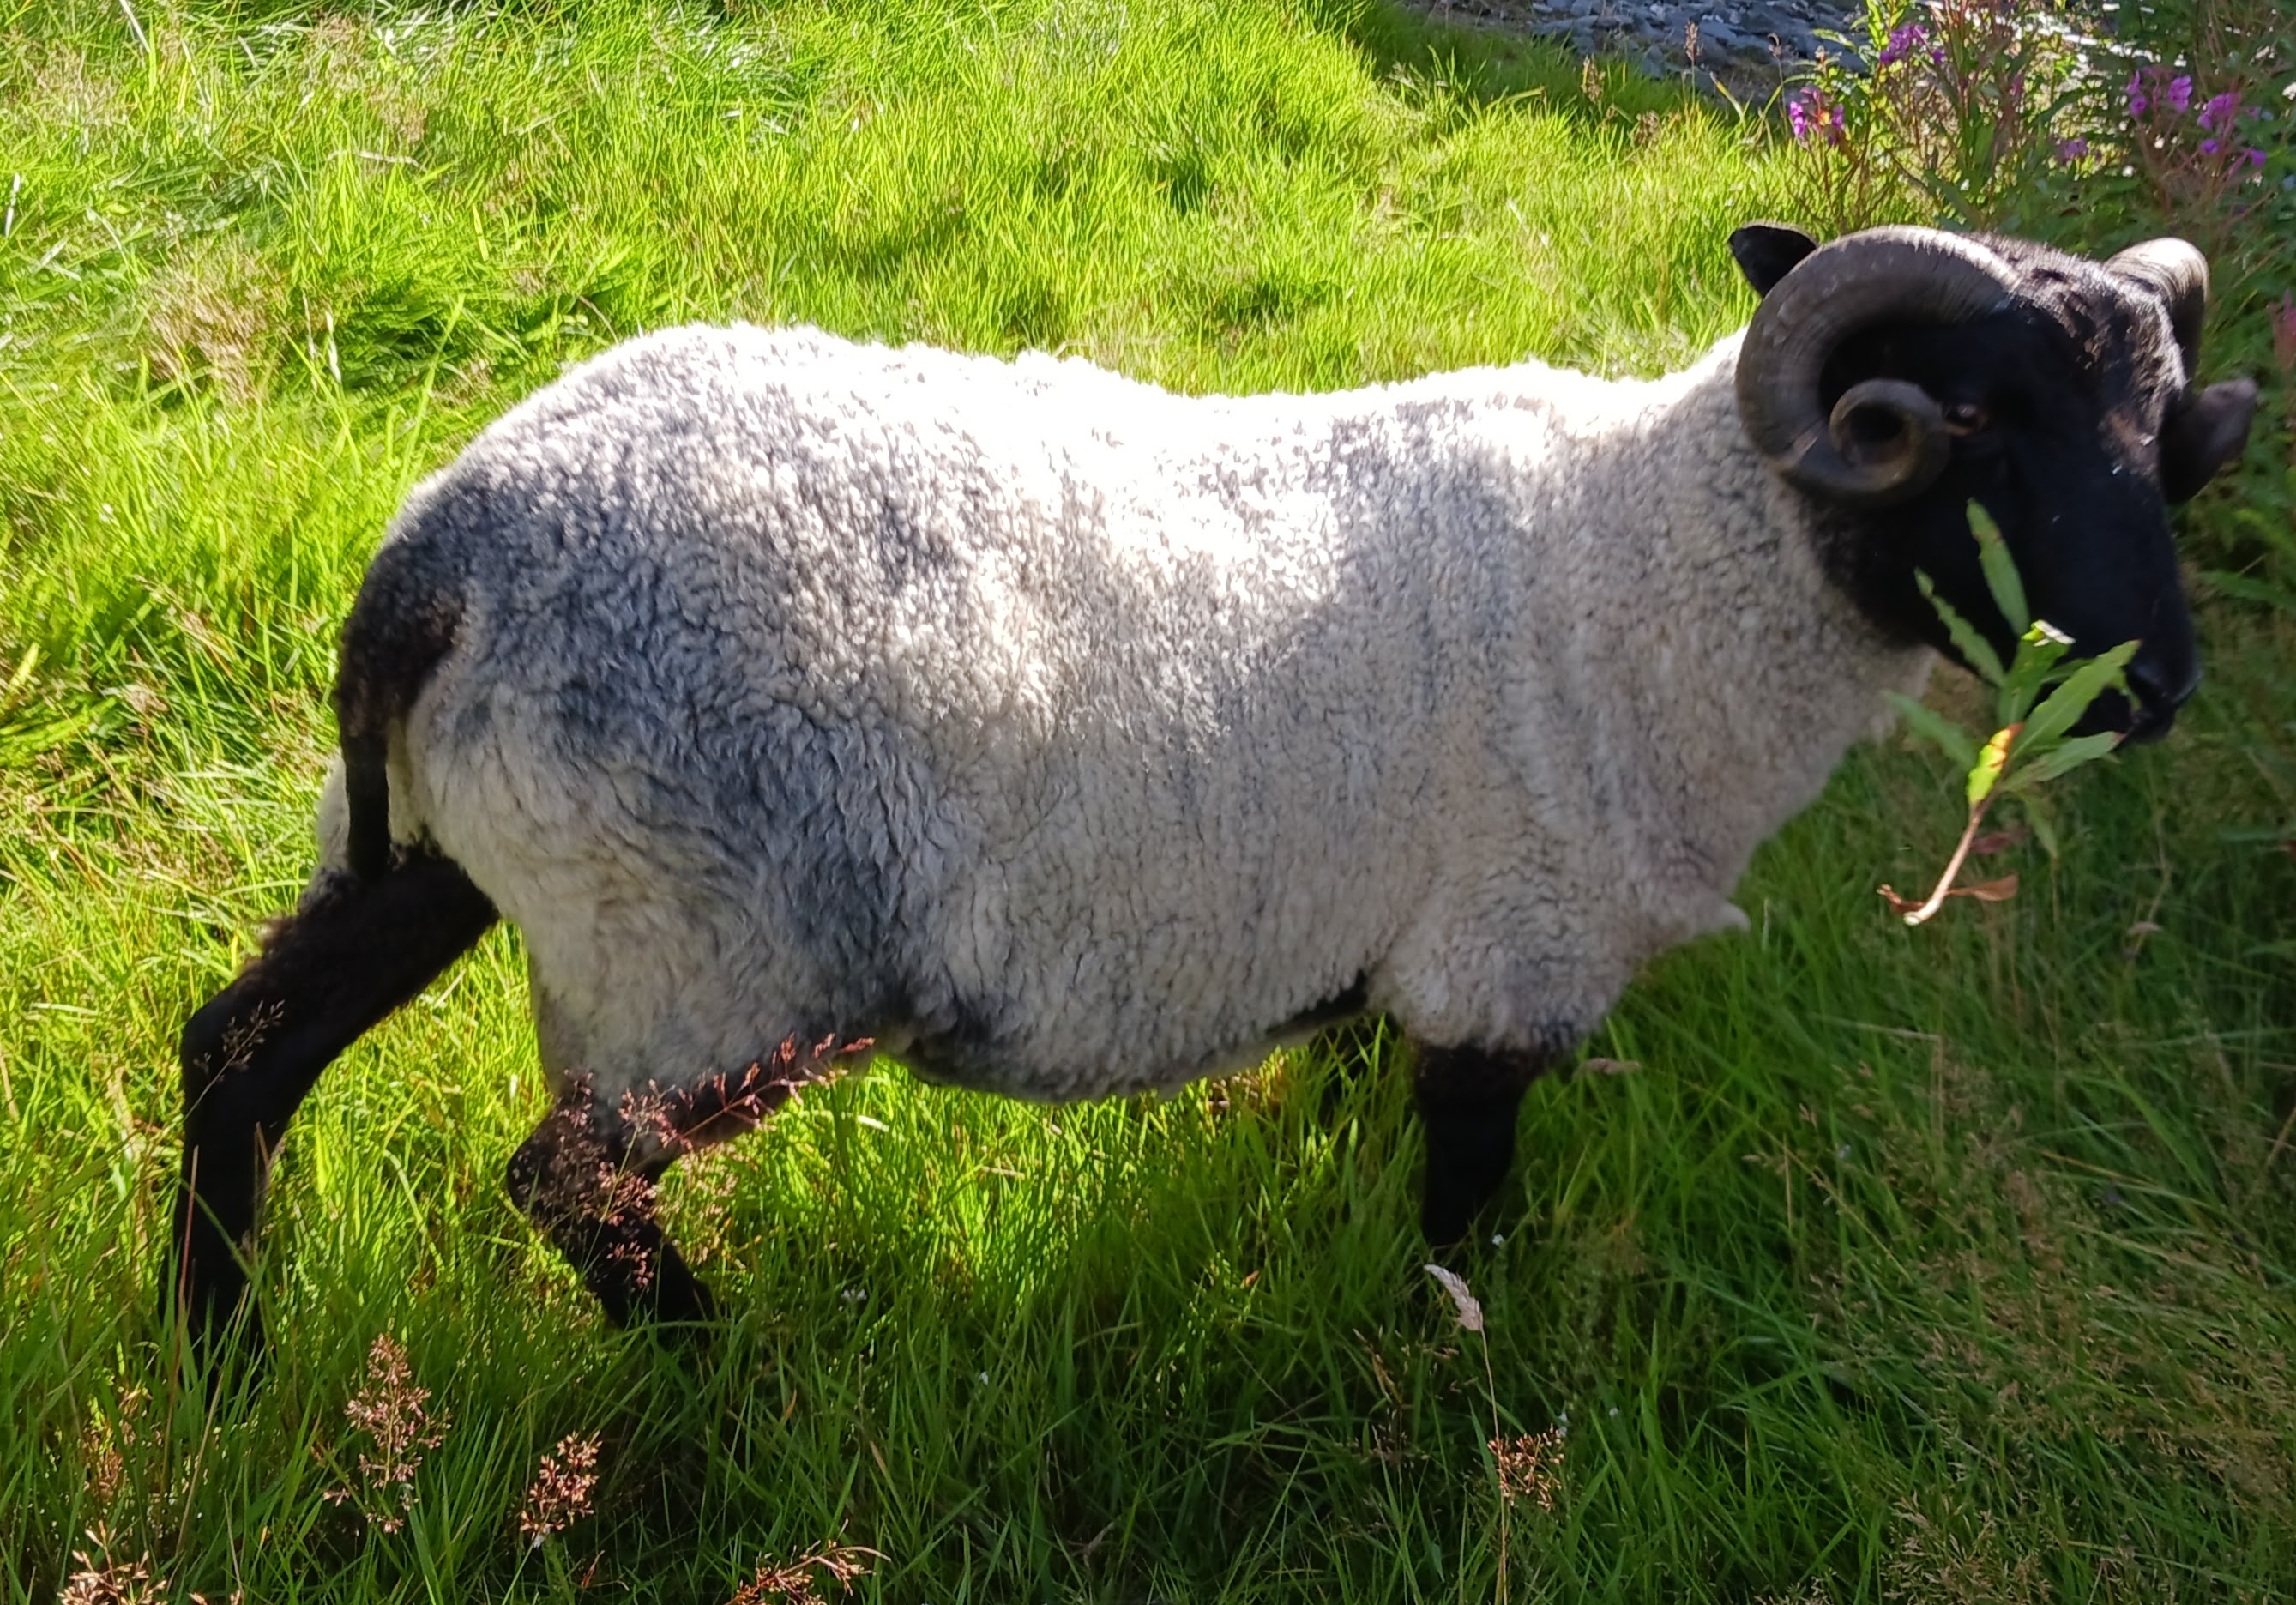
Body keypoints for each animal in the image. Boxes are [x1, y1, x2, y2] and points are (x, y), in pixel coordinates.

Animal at [166, 226, 2259, 1359]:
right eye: (1968, 423)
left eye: (2165, 431)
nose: (2155, 688)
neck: (1649, 568)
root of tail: (440, 552)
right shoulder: (1507, 963)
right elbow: (1462, 1226)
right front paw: (1452, 1391)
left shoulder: (1384, 954)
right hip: (704, 946)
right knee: (567, 1176)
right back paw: (705, 1358)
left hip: (432, 843)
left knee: (239, 1049)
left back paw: (221, 1354)